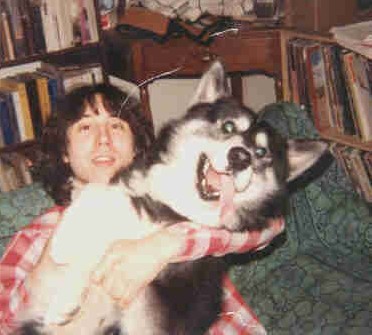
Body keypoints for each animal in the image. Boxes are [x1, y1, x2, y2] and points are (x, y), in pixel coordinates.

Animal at [15, 61, 328, 335]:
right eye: (228, 127)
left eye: (262, 153)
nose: (240, 157)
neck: (174, 194)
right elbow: (96, 191)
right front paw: (67, 232)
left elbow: (105, 233)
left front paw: (65, 293)